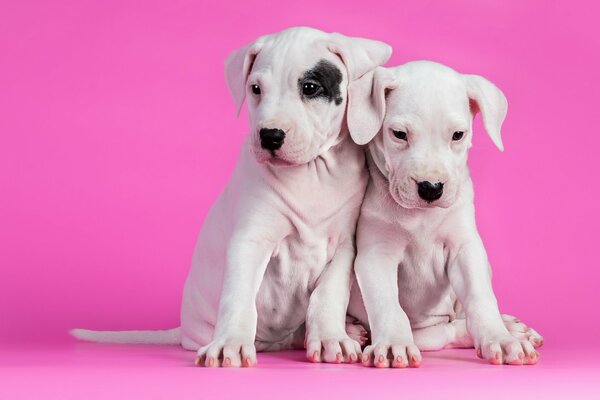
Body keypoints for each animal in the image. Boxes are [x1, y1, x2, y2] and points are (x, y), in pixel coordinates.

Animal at [71, 26, 390, 368]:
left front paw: (332, 337)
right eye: (256, 89)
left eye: (310, 87)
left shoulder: (343, 247)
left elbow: (328, 295)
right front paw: (230, 344)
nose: (270, 136)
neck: (311, 174)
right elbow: (239, 294)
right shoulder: (250, 241)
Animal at [342, 61, 544, 368]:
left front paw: (500, 338)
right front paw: (393, 343)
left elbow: (480, 297)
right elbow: (387, 304)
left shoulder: (465, 249)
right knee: (441, 331)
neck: (420, 218)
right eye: (398, 134)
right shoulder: (375, 256)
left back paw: (510, 328)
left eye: (458, 135)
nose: (431, 187)